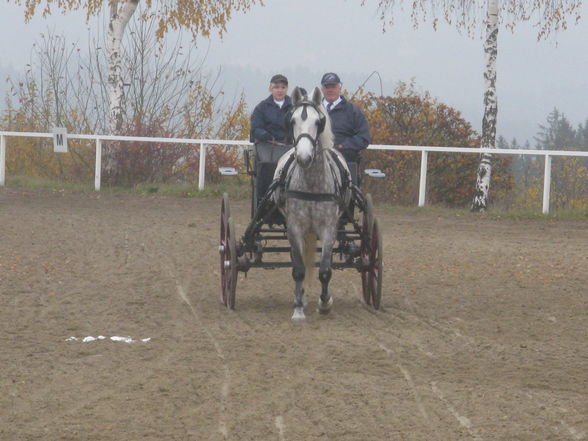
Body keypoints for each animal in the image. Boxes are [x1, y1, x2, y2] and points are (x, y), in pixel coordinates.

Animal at [274, 87, 352, 320]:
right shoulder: (294, 228)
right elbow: (299, 269)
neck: (311, 184)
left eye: (319, 122)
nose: (304, 157)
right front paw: (298, 309)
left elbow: (325, 270)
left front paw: (325, 303)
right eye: (292, 121)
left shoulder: (329, 228)